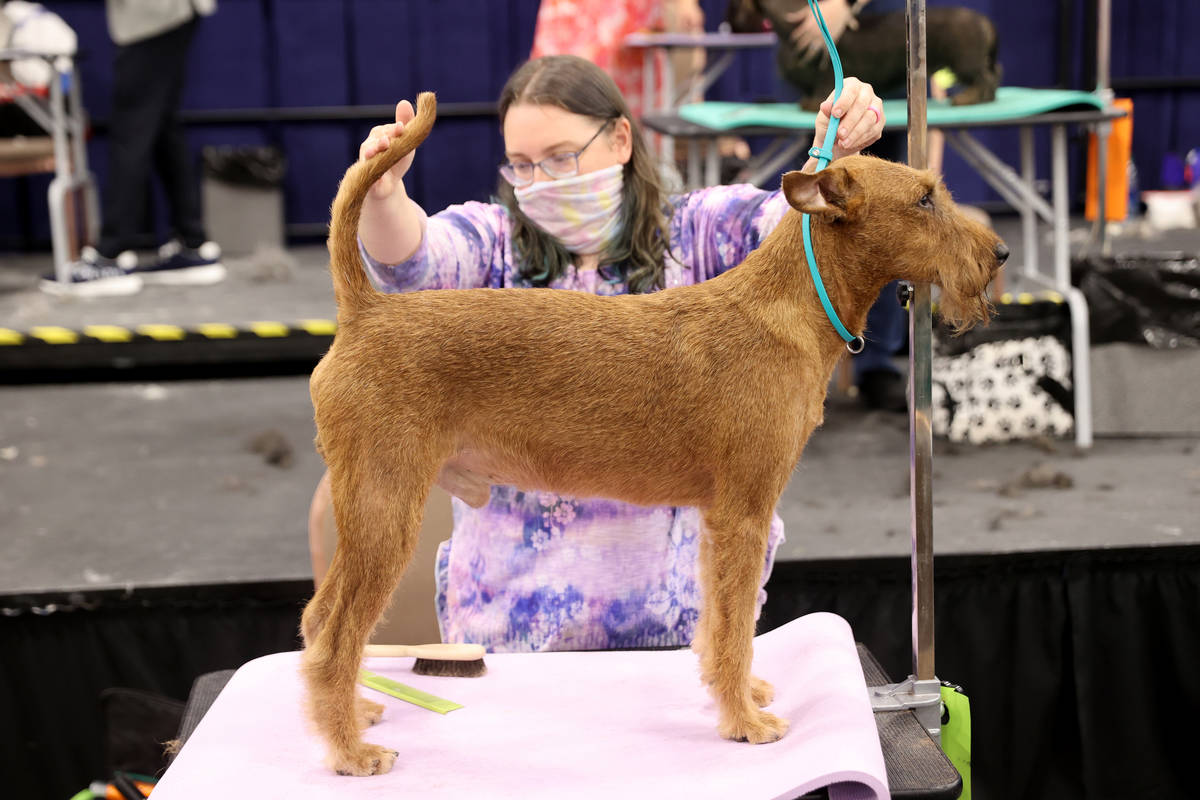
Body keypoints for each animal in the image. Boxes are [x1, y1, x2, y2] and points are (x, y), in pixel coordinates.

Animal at [297, 94, 1003, 777]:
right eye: (924, 199)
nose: (998, 254)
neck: (791, 308)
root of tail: (364, 309)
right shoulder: (744, 512)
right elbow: (737, 626)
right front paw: (745, 722)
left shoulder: (718, 521)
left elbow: (718, 625)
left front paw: (740, 696)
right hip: (386, 508)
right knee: (334, 634)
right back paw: (350, 751)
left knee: (317, 619)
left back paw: (353, 714)